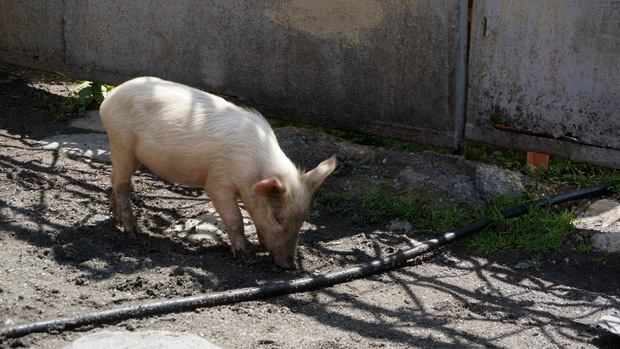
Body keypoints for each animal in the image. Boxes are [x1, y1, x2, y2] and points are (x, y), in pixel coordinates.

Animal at [99, 77, 336, 270]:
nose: (290, 266)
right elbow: (235, 218)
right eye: (278, 219)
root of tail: (109, 98)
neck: (251, 170)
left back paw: (115, 217)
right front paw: (245, 254)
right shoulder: (218, 181)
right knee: (121, 184)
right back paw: (132, 231)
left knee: (114, 178)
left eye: (304, 218)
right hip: (123, 143)